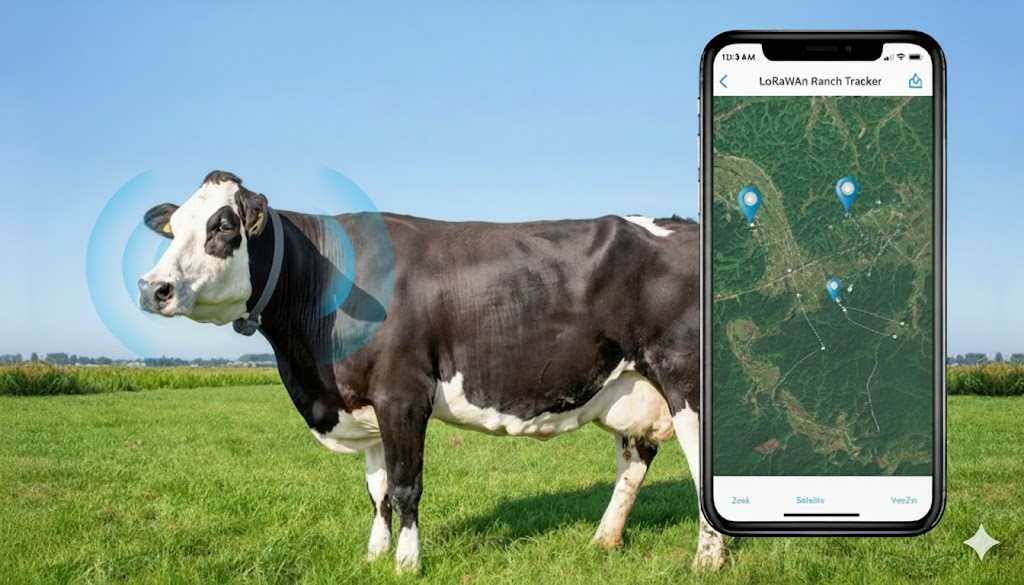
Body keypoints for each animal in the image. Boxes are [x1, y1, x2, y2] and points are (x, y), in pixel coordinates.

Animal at [137, 171, 725, 573]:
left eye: (223, 226)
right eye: (173, 228)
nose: (152, 287)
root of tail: (686, 225)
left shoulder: (403, 395)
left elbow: (405, 487)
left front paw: (407, 562)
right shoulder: (365, 402)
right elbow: (375, 491)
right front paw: (374, 556)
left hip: (686, 378)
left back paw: (708, 560)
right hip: (633, 382)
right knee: (634, 459)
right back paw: (604, 540)